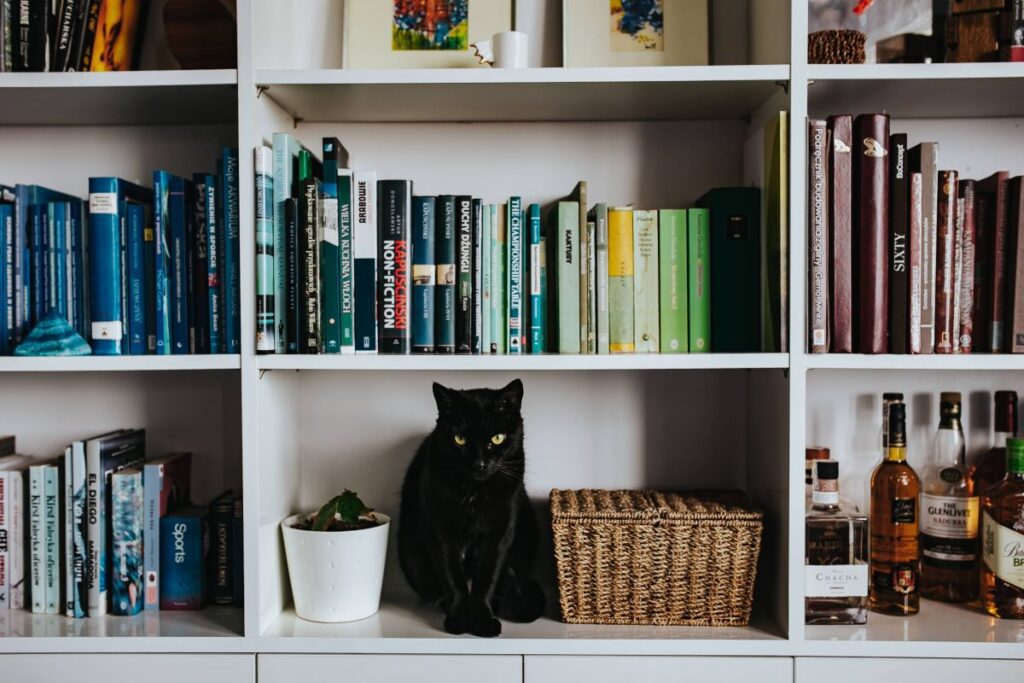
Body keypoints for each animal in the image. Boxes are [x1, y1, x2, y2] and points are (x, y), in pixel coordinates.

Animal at [397, 378, 544, 634]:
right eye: (460, 439)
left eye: (497, 438)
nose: (480, 464)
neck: (476, 492)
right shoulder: (441, 531)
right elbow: (452, 578)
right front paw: (459, 618)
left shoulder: (500, 531)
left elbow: (487, 577)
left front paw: (483, 620)